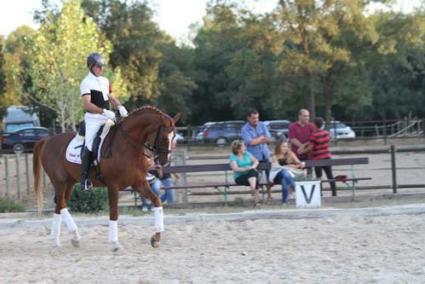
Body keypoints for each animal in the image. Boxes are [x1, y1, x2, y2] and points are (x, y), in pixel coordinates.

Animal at [33, 105, 178, 250]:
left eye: (174, 137)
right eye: (164, 138)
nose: (165, 161)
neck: (128, 145)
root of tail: (47, 140)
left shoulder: (139, 183)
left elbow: (157, 201)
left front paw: (156, 238)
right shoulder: (113, 185)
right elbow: (114, 212)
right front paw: (114, 243)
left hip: (69, 182)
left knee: (59, 204)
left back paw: (59, 239)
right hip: (60, 181)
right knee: (61, 203)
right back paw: (71, 236)